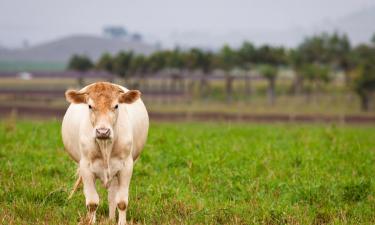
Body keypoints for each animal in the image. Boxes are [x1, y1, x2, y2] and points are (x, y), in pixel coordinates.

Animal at [62, 81, 150, 224]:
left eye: (116, 105)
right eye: (90, 106)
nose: (103, 132)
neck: (105, 147)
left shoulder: (126, 167)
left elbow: (122, 202)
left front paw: (121, 222)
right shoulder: (86, 168)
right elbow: (92, 202)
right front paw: (91, 221)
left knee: (112, 196)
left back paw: (111, 218)